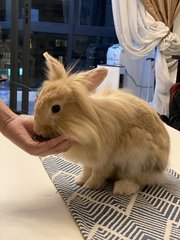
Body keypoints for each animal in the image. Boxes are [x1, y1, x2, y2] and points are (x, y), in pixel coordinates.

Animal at [33, 52, 170, 195]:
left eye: (55, 108)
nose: (37, 129)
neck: (86, 122)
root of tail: (161, 168)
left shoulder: (104, 159)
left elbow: (98, 174)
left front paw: (89, 186)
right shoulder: (88, 159)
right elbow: (87, 170)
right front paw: (80, 180)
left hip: (138, 155)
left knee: (139, 179)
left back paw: (123, 187)